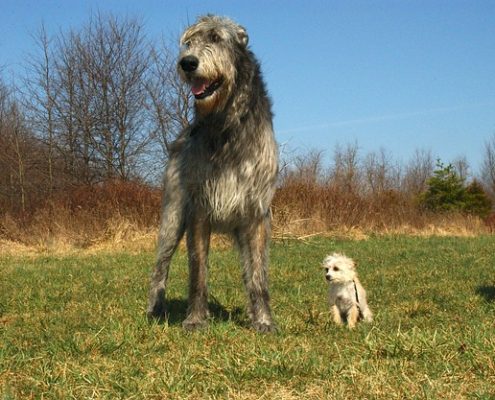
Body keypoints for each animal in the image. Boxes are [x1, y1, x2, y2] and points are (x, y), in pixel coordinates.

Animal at [147, 15, 280, 332]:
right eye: (189, 42)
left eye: (217, 38)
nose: (187, 63)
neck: (226, 124)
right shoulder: (198, 208)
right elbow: (198, 270)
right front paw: (195, 319)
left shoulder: (257, 212)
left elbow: (258, 274)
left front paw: (264, 320)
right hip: (172, 215)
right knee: (160, 265)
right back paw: (155, 308)